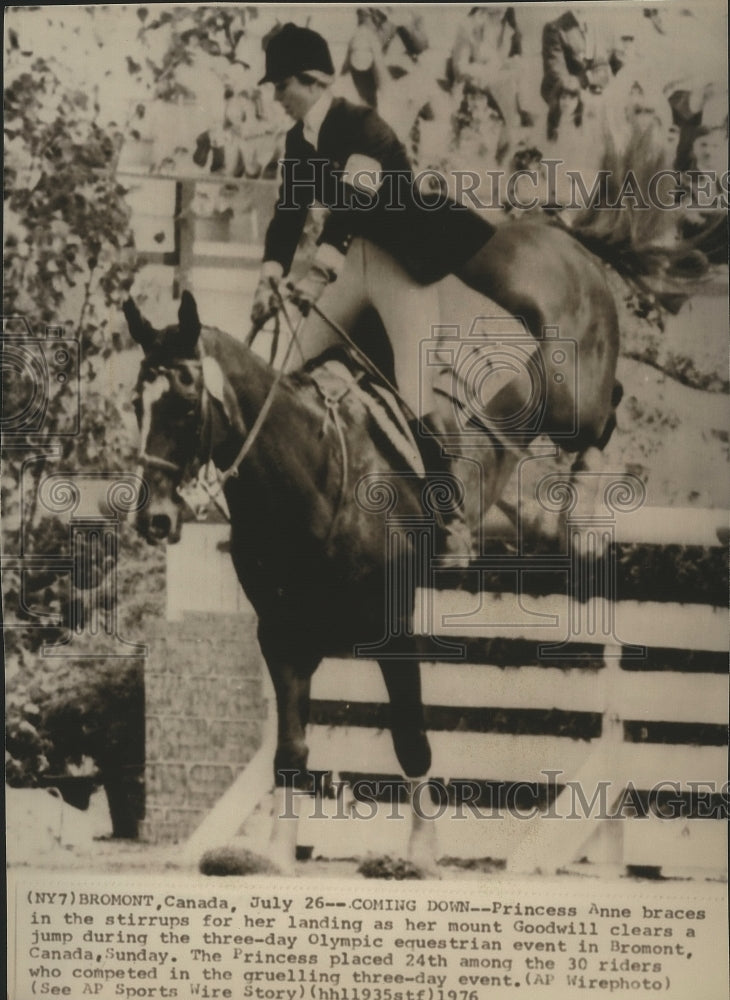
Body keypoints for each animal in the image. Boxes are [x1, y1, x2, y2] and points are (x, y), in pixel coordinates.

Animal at [123, 223, 620, 872]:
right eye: (136, 404)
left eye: (183, 405)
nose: (153, 518)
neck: (309, 478)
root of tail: (556, 237)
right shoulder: (282, 638)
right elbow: (291, 749)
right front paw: (278, 853)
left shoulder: (393, 630)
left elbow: (410, 738)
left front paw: (421, 853)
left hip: (568, 394)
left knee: (598, 414)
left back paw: (586, 501)